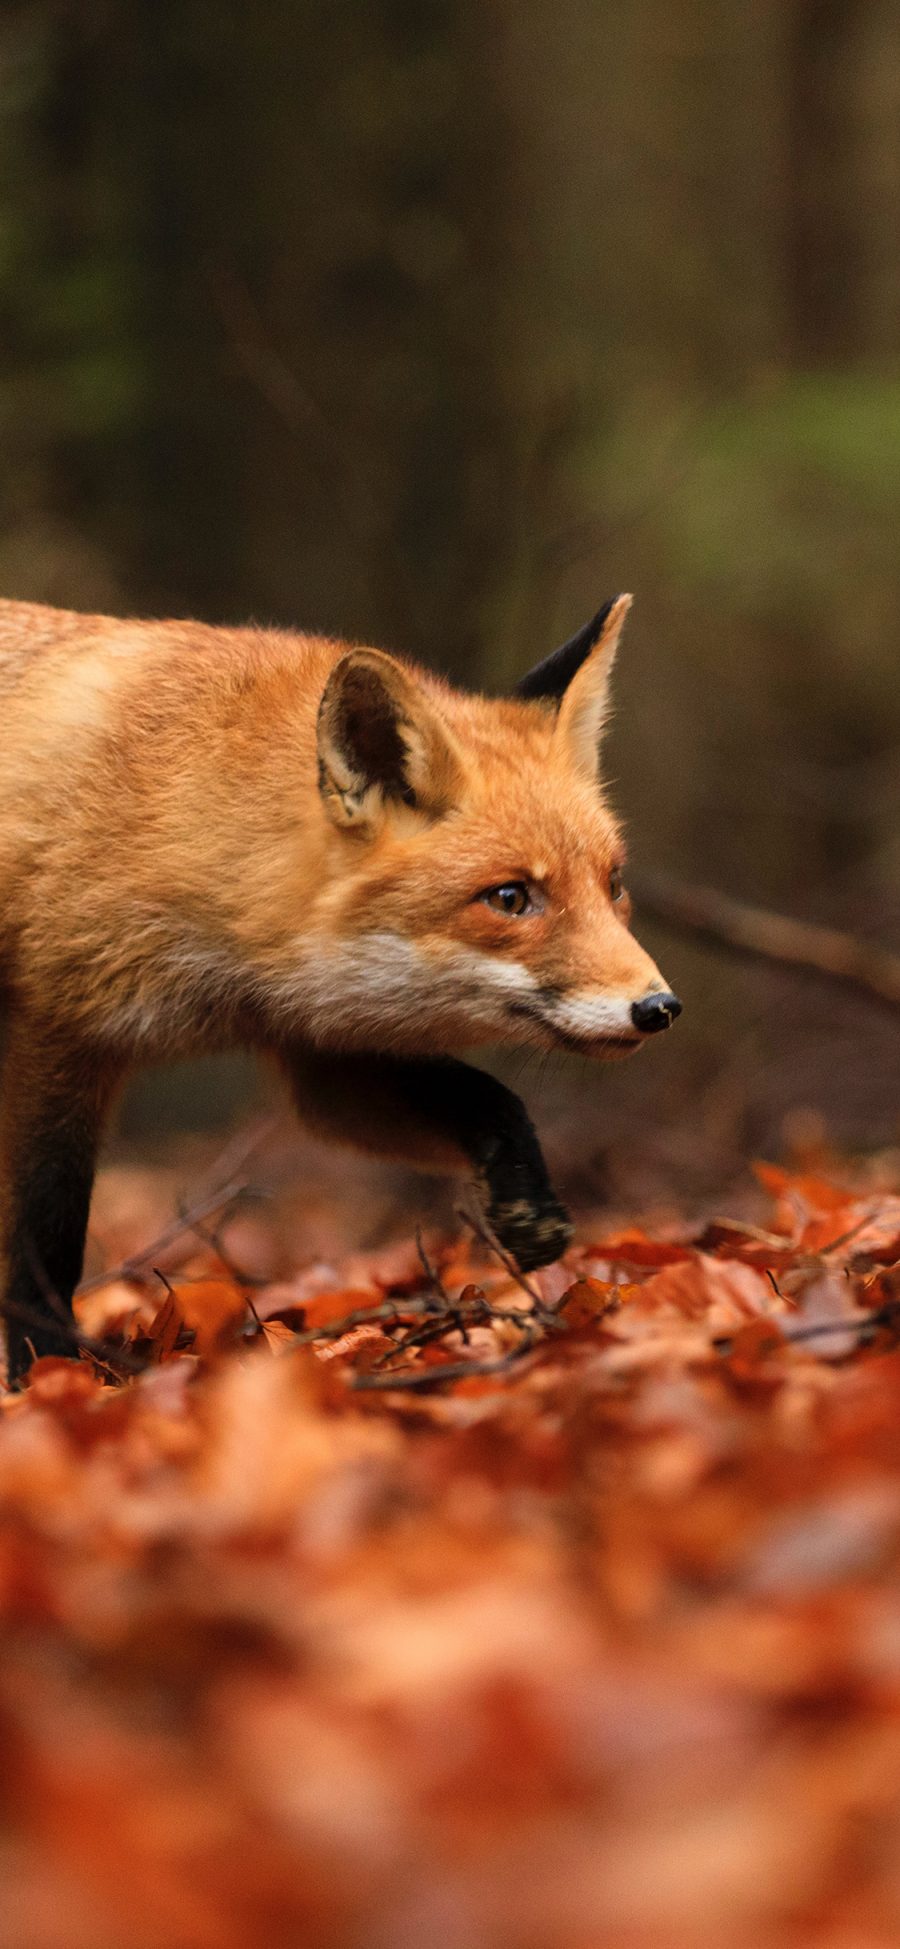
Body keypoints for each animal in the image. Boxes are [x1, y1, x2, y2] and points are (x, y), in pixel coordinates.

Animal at [0, 592, 677, 1387]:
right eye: (510, 898)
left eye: (613, 885)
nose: (659, 1007)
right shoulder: (53, 1035)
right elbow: (44, 1239)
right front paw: (43, 1373)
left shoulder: (317, 1049)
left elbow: (491, 1100)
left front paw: (528, 1206)